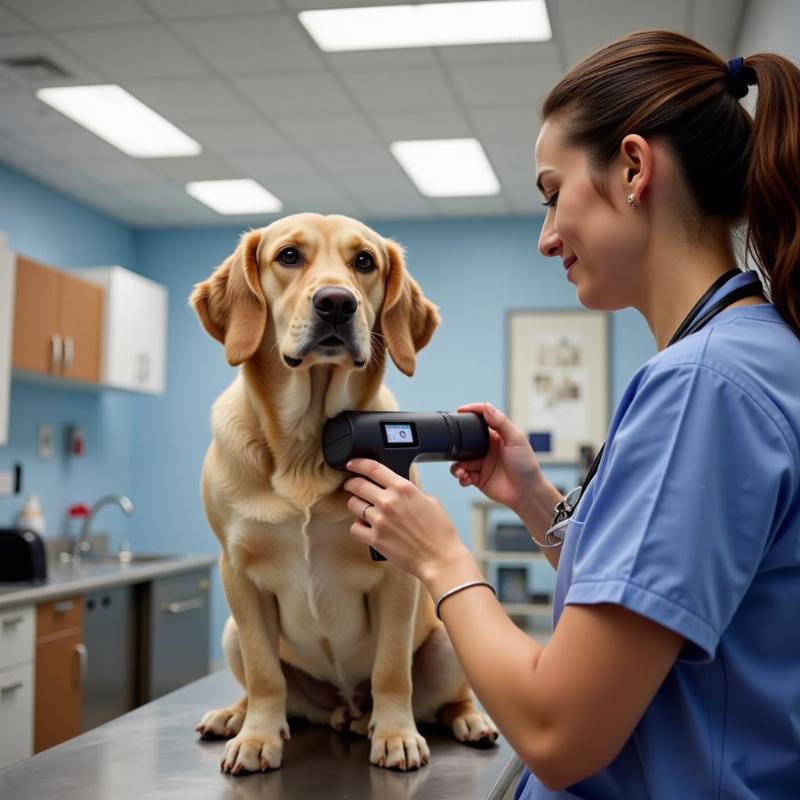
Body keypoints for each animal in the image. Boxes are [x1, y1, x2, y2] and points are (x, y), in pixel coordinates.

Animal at [190, 214, 496, 776]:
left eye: (365, 262)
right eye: (288, 256)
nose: (336, 302)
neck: (308, 448)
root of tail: (342, 707)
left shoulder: (397, 570)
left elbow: (392, 669)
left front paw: (396, 734)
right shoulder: (236, 571)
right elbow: (266, 675)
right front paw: (257, 737)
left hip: (447, 636)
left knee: (444, 697)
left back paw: (465, 720)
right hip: (231, 634)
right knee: (270, 686)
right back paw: (235, 715)